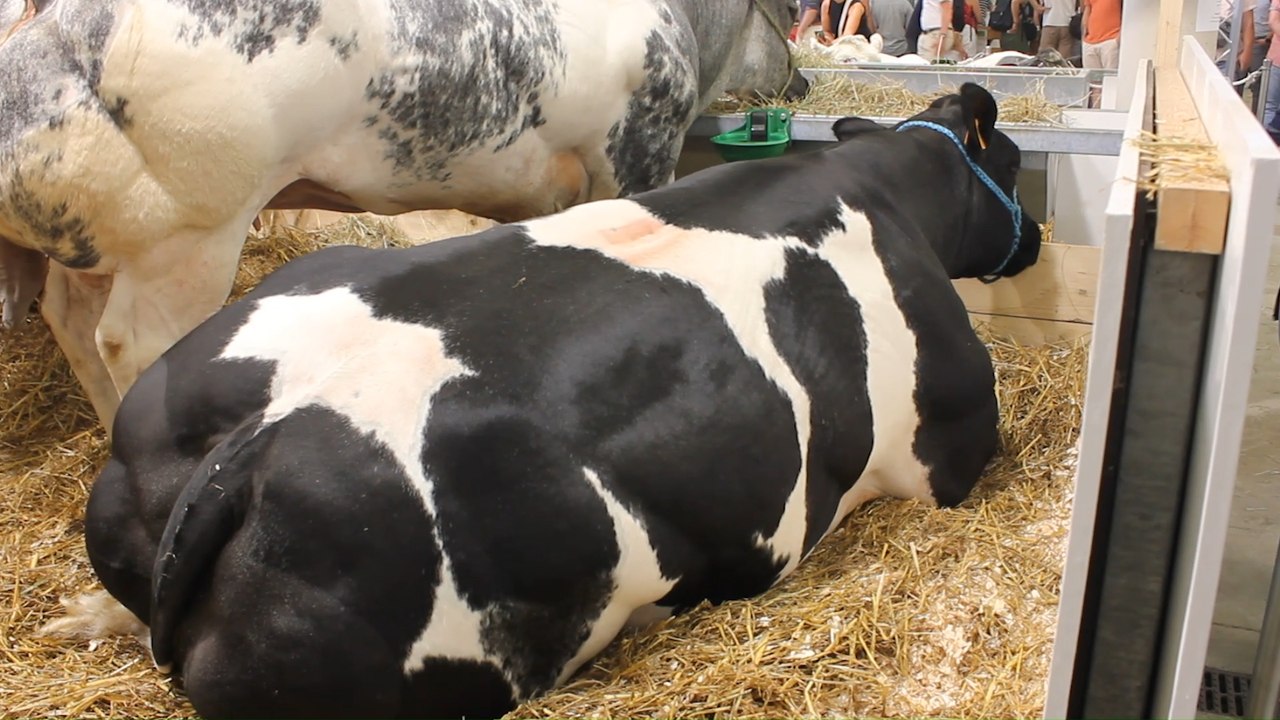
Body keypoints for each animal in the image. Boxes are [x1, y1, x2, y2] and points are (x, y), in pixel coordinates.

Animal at [0, 0, 805, 432]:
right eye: (791, 12)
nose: (799, 82)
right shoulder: (638, 151)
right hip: (188, 238)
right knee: (130, 344)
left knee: (72, 318)